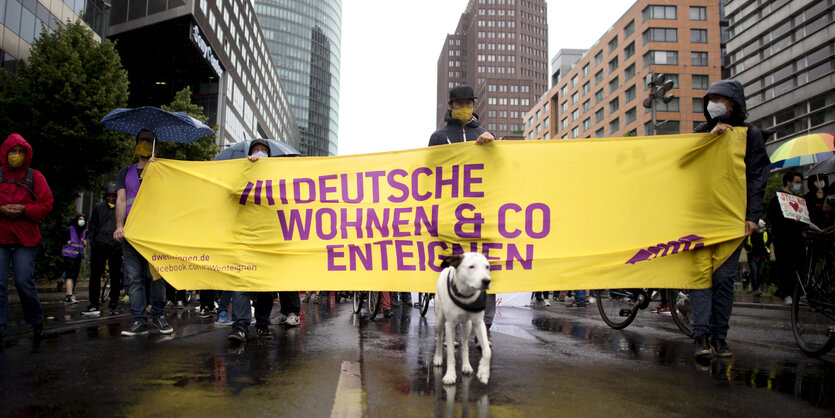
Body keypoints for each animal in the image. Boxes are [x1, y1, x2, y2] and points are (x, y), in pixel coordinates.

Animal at [434, 251, 494, 386]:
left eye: (487, 267)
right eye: (471, 266)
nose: (486, 281)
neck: (465, 296)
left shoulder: (478, 323)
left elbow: (487, 351)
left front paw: (483, 372)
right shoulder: (449, 325)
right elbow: (450, 354)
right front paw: (450, 375)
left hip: (468, 325)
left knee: (465, 344)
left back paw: (467, 366)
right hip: (439, 320)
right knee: (439, 339)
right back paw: (438, 357)